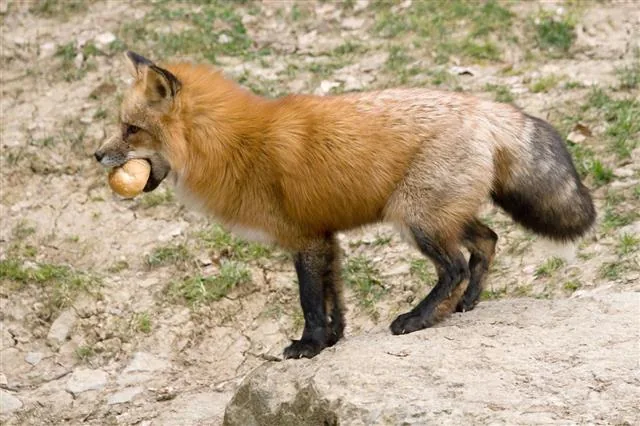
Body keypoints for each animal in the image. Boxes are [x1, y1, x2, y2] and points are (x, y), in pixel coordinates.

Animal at [95, 51, 596, 359]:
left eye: (130, 130)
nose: (96, 156)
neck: (237, 145)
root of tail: (486, 107)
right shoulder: (324, 236)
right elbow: (334, 298)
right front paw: (333, 341)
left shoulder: (303, 238)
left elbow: (310, 301)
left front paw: (309, 346)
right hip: (438, 215)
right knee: (487, 241)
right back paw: (467, 304)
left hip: (415, 219)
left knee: (453, 266)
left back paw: (417, 318)